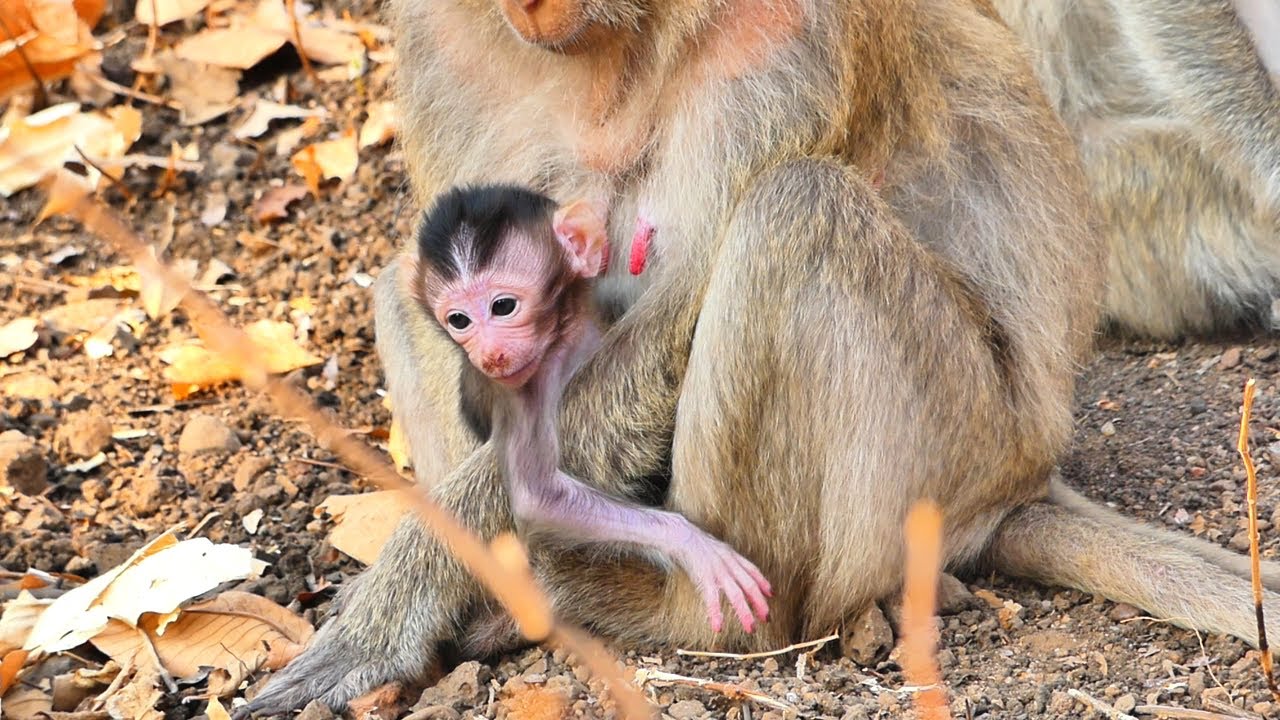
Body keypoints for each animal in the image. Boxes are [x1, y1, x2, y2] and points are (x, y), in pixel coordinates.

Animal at [411, 184, 772, 634]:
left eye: (503, 306)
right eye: (459, 320)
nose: (489, 355)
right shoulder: (525, 390)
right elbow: (538, 497)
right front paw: (693, 544)